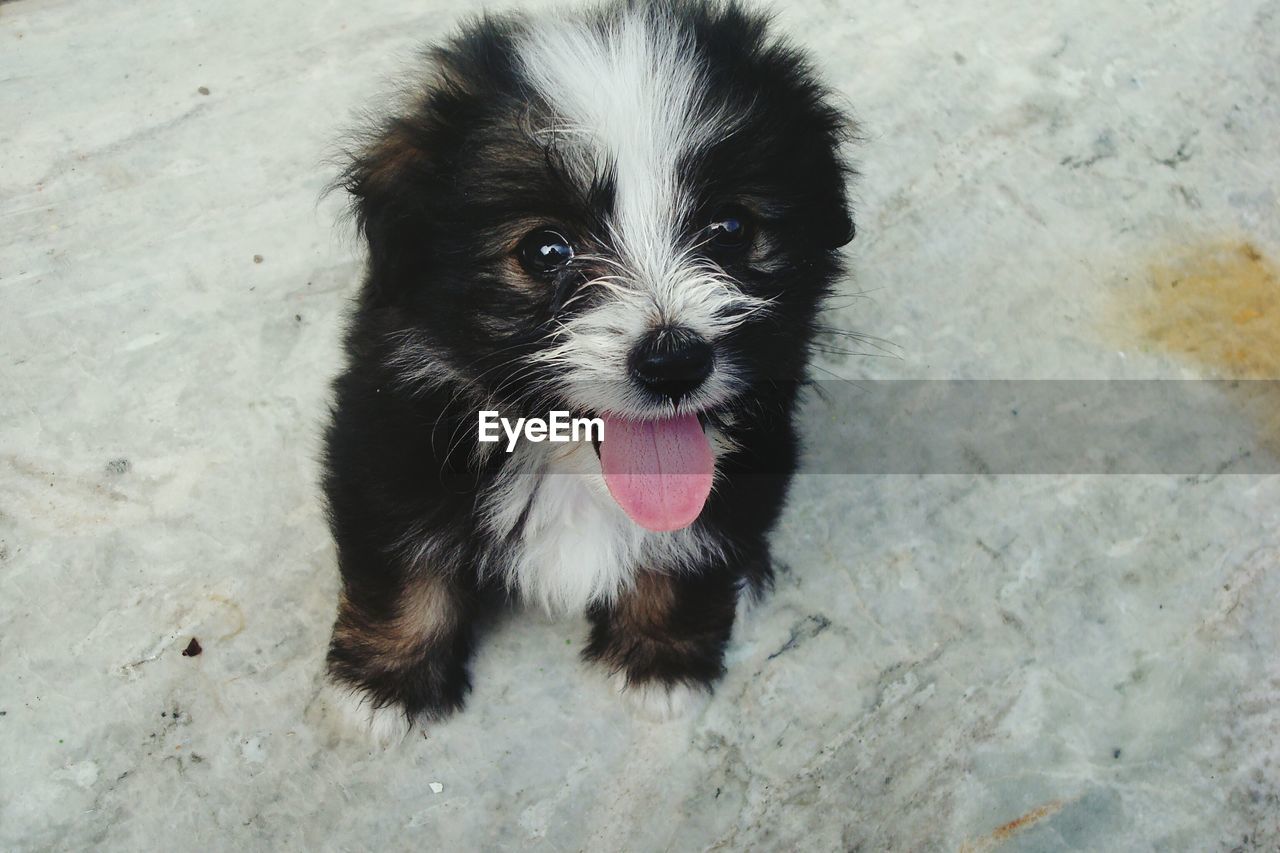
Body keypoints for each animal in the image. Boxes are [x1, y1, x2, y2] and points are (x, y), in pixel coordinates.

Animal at [325, 0, 855, 737]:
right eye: (546, 250)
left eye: (730, 227)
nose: (674, 360)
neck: (575, 462)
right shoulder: (387, 432)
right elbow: (404, 560)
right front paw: (385, 687)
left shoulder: (756, 450)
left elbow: (693, 542)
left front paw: (661, 662)